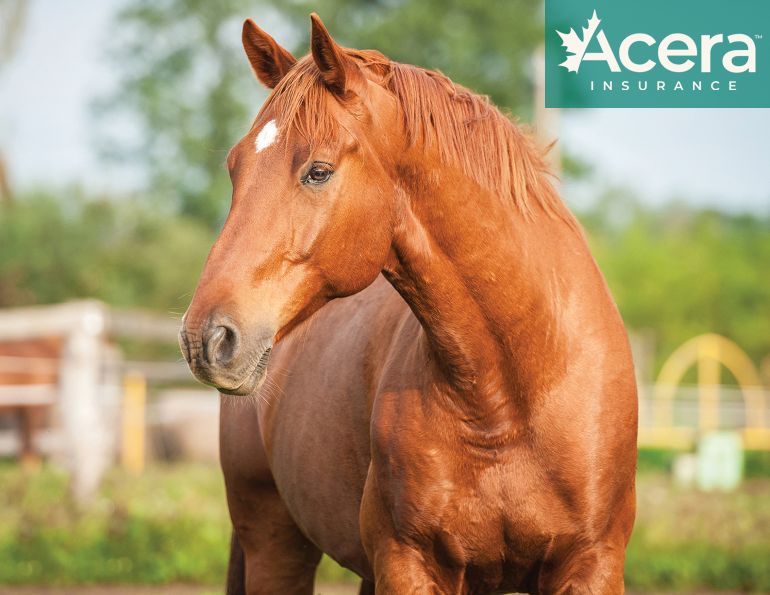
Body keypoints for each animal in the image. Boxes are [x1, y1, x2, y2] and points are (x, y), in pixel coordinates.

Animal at [180, 14, 638, 595]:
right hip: (275, 545)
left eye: (318, 170)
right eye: (235, 167)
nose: (206, 337)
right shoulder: (409, 564)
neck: (512, 394)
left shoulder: (591, 565)